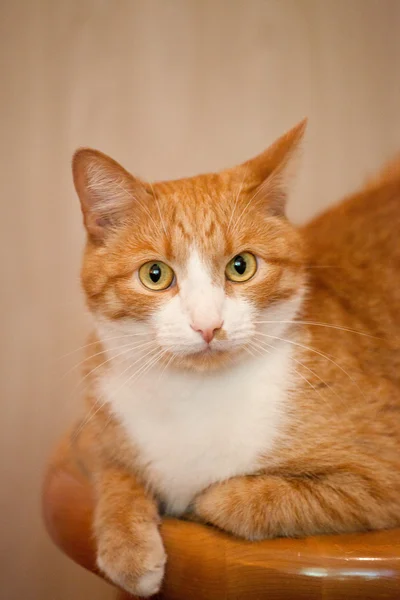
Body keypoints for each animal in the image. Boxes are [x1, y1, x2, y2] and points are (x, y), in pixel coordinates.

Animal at [72, 120, 400, 596]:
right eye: (155, 275)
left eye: (241, 266)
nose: (208, 326)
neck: (194, 397)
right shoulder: (95, 436)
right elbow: (115, 478)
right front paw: (126, 548)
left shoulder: (377, 478)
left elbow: (241, 499)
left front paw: (195, 502)